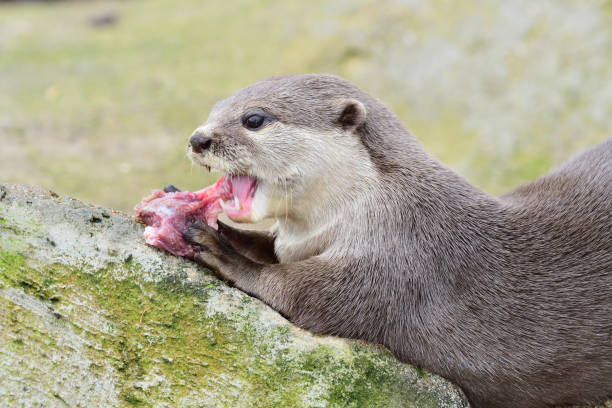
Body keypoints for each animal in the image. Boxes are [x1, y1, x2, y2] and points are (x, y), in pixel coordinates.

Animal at [172, 74, 612, 408]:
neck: (370, 205)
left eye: (254, 119)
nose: (197, 139)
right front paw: (210, 224)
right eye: (214, 109)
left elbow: (296, 292)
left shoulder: (399, 259)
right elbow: (270, 249)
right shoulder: (303, 242)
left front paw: (218, 248)